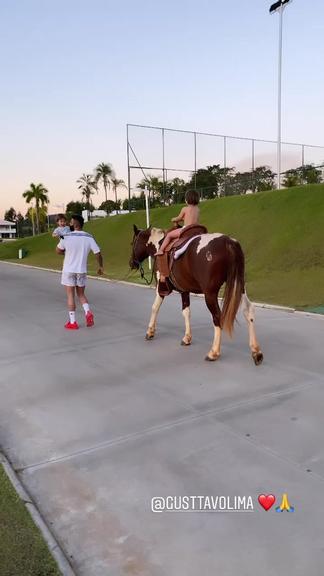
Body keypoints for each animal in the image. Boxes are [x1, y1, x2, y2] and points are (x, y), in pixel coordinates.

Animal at [129, 226, 264, 364]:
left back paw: (214, 352)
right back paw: (256, 351)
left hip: (210, 294)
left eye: (132, 243)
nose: (131, 263)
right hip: (239, 285)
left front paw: (150, 331)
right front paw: (187, 337)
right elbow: (186, 312)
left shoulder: (160, 289)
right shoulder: (184, 291)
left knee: (217, 316)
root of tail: (228, 242)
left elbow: (155, 307)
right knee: (248, 310)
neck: (159, 245)